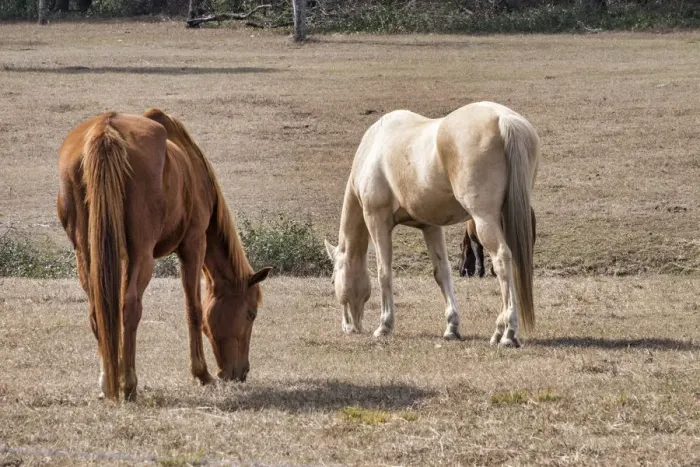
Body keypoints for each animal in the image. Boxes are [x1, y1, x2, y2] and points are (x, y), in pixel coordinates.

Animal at [57, 109, 271, 401]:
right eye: (250, 314)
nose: (241, 372)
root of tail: (106, 130)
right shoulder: (193, 243)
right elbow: (194, 308)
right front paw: (201, 374)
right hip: (142, 253)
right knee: (130, 307)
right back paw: (129, 384)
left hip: (86, 252)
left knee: (98, 310)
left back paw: (107, 384)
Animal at [324, 101, 539, 347]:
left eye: (333, 280)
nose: (348, 327)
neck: (373, 147)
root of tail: (503, 119)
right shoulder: (431, 226)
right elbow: (442, 273)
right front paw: (452, 327)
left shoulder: (376, 219)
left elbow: (383, 272)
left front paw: (384, 325)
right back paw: (499, 331)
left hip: (485, 219)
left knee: (502, 259)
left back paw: (507, 333)